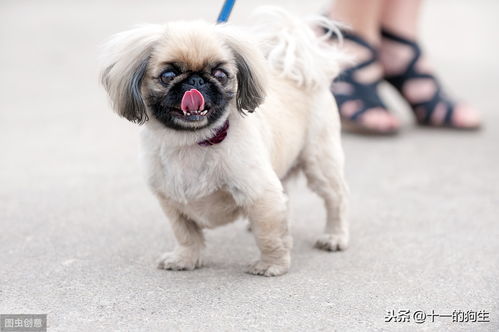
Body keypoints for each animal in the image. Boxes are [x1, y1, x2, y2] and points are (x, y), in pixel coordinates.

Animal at [100, 8, 350, 278]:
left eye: (220, 74)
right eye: (168, 75)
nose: (196, 81)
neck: (192, 142)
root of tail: (295, 70)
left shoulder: (260, 192)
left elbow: (269, 236)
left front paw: (271, 264)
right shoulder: (172, 202)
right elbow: (186, 235)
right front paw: (185, 259)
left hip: (320, 164)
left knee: (335, 200)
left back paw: (334, 236)